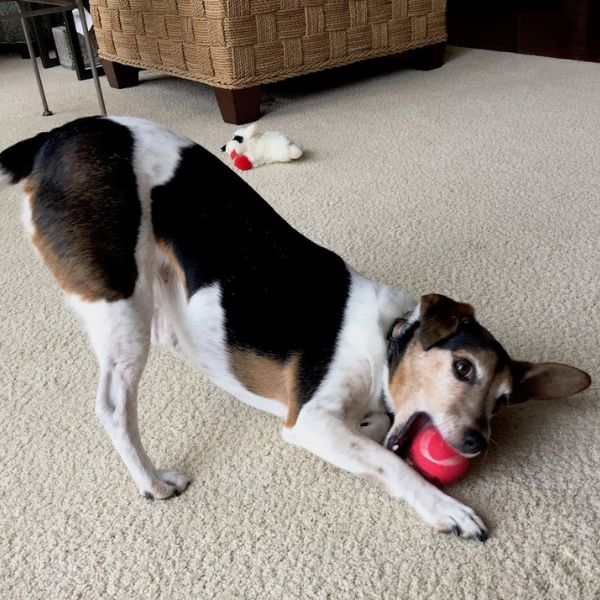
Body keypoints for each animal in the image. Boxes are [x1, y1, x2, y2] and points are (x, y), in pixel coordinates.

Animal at [1, 116, 592, 540]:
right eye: (463, 368)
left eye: (504, 402)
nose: (475, 444)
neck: (387, 339)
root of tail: (50, 137)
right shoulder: (310, 421)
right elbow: (391, 464)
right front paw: (448, 509)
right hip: (121, 300)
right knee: (113, 406)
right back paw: (152, 482)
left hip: (153, 295)